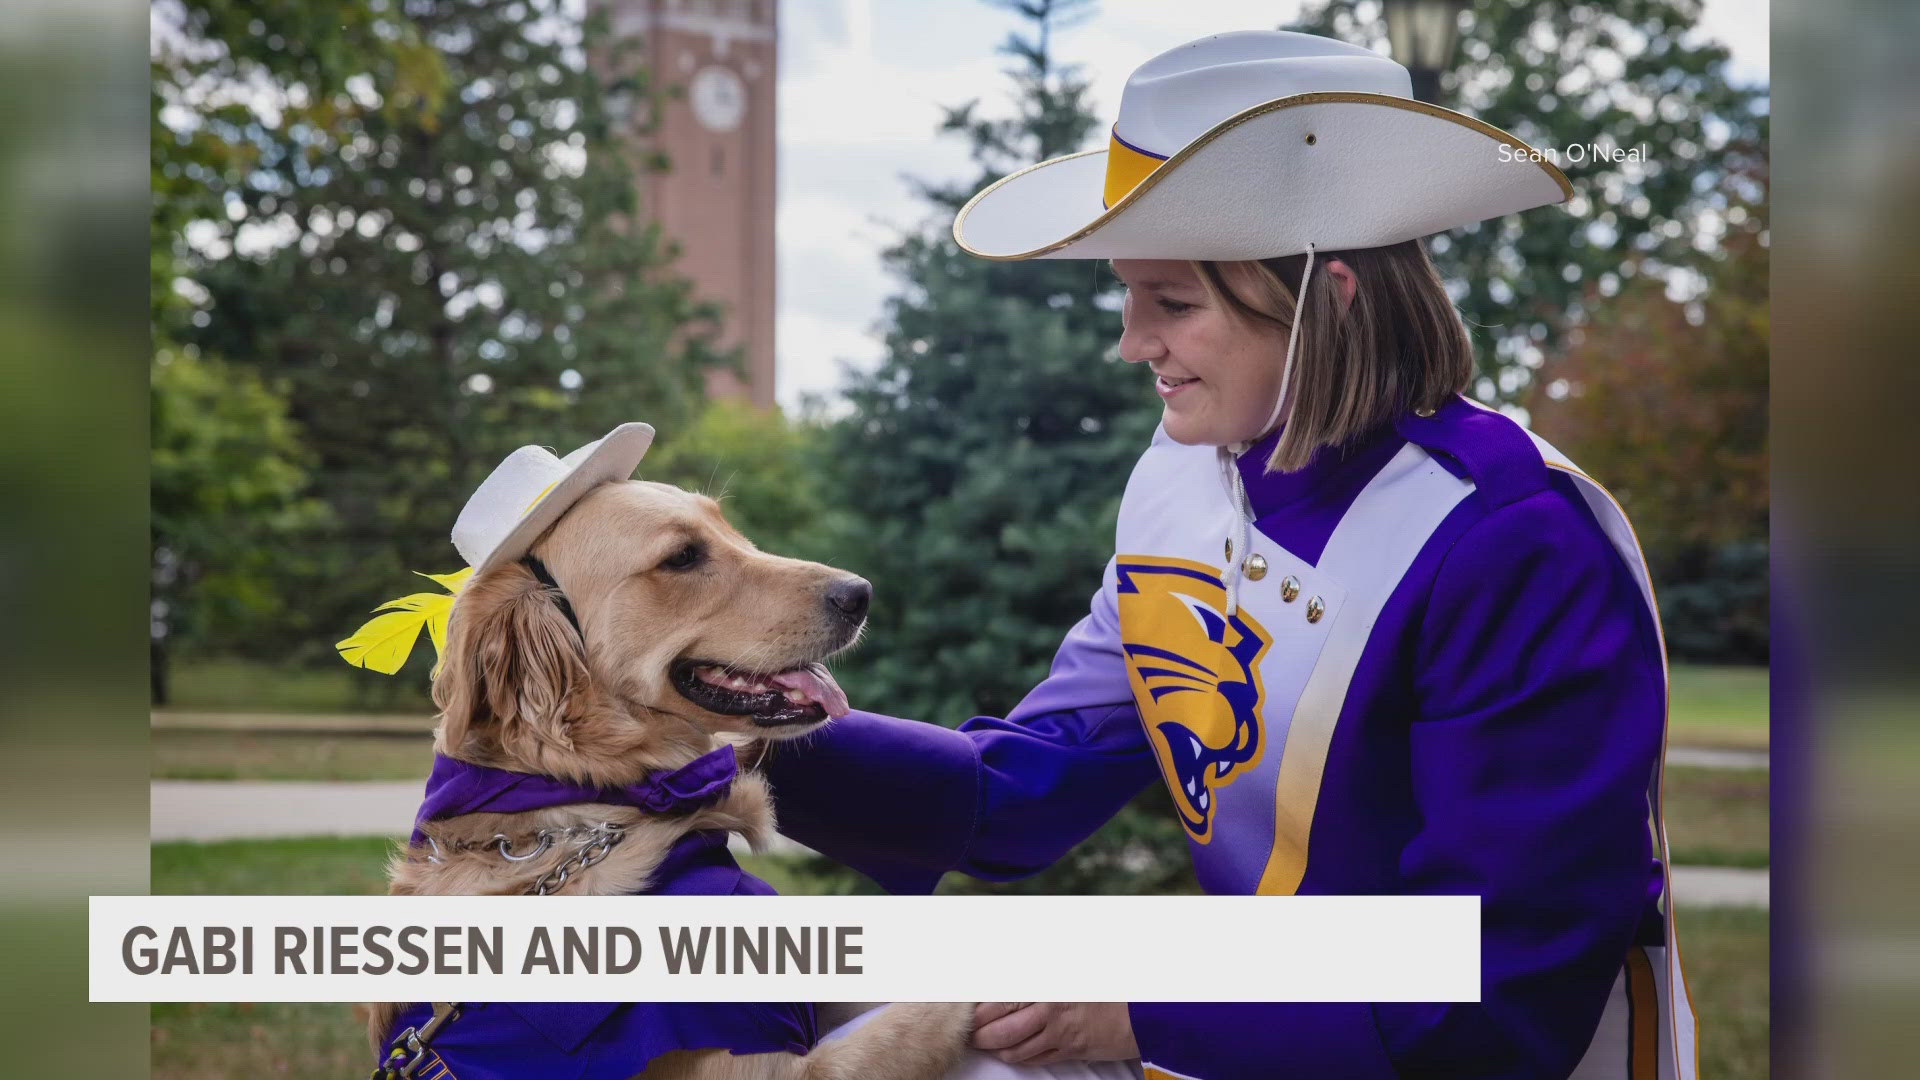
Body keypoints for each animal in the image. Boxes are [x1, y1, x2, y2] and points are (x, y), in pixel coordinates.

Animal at [364, 478, 975, 1076]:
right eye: (682, 557)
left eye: (732, 531)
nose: (861, 593)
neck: (599, 805)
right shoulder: (774, 1064)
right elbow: (930, 1009)